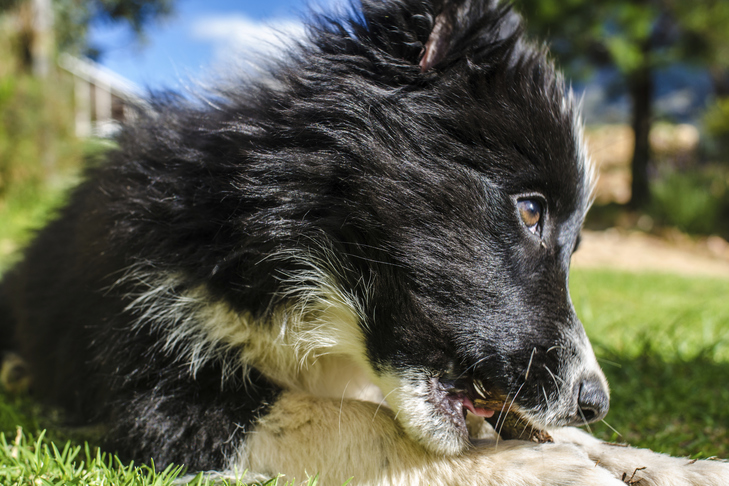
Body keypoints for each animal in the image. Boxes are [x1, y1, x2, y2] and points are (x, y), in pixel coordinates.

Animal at [1, 0, 728, 484]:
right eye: (529, 211)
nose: (595, 402)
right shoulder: (152, 382)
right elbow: (357, 422)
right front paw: (546, 467)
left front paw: (665, 464)